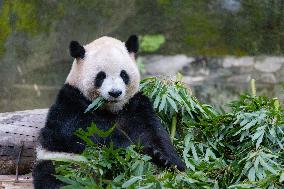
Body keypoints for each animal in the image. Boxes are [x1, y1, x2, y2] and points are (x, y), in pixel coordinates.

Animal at [32, 35, 186, 189]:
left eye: (123, 74)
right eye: (101, 76)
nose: (115, 93)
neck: (112, 109)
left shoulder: (135, 104)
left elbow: (152, 131)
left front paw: (166, 159)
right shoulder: (70, 101)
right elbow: (84, 131)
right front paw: (130, 147)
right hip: (62, 162)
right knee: (55, 178)